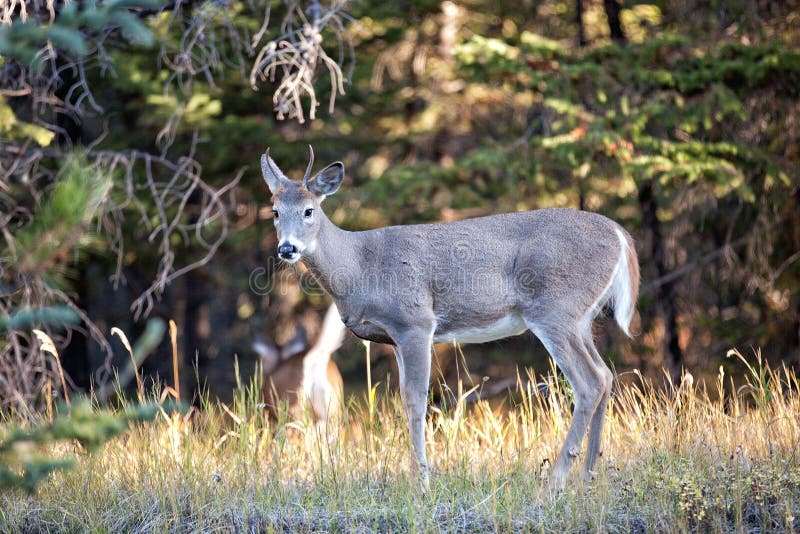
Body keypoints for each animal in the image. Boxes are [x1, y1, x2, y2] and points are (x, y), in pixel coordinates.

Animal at [260, 147, 640, 490]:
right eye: (275, 211)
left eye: (309, 210)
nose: (287, 249)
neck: (359, 266)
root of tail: (621, 236)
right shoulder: (393, 338)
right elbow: (405, 399)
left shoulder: (415, 321)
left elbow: (416, 400)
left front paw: (422, 483)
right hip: (581, 318)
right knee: (605, 375)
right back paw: (587, 479)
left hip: (555, 308)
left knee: (589, 381)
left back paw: (553, 485)